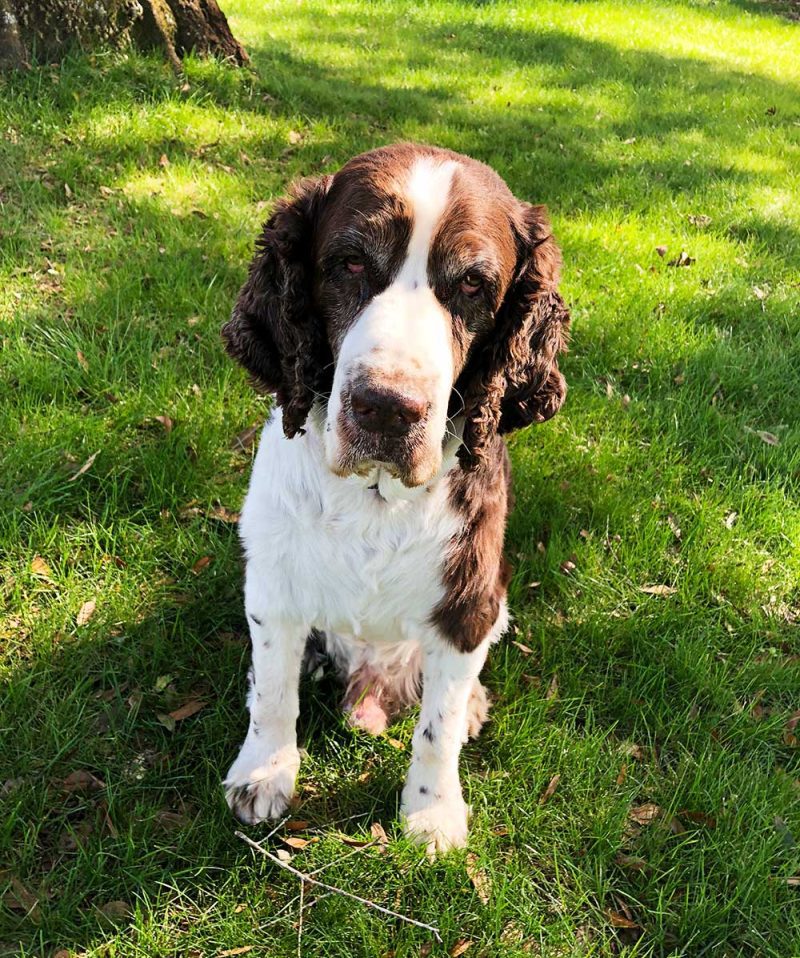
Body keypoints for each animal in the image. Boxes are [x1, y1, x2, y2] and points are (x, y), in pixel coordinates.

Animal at [219, 144, 568, 856]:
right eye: (350, 262)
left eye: (473, 284)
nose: (385, 408)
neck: (375, 499)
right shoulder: (272, 586)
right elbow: (272, 694)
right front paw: (264, 772)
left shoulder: (468, 605)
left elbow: (437, 728)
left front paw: (432, 813)